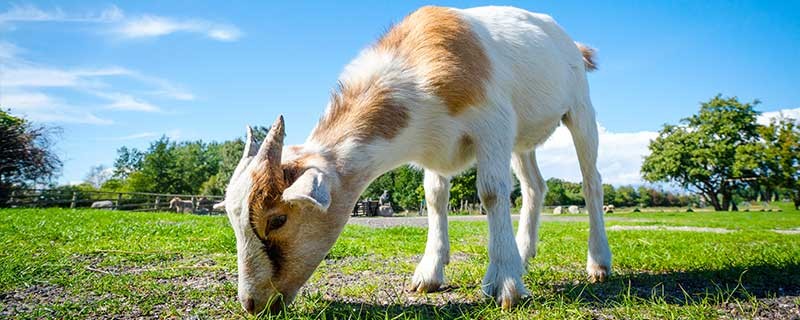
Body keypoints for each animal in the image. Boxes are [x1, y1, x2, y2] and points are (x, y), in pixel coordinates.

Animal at [216, 5, 608, 316]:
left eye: (277, 219)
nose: (252, 303)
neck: (416, 68)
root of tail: (573, 45)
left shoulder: (493, 124)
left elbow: (492, 192)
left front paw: (504, 284)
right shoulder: (434, 147)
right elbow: (435, 197)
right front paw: (429, 274)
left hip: (580, 109)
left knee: (591, 181)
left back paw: (598, 263)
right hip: (523, 141)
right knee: (534, 186)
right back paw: (524, 254)